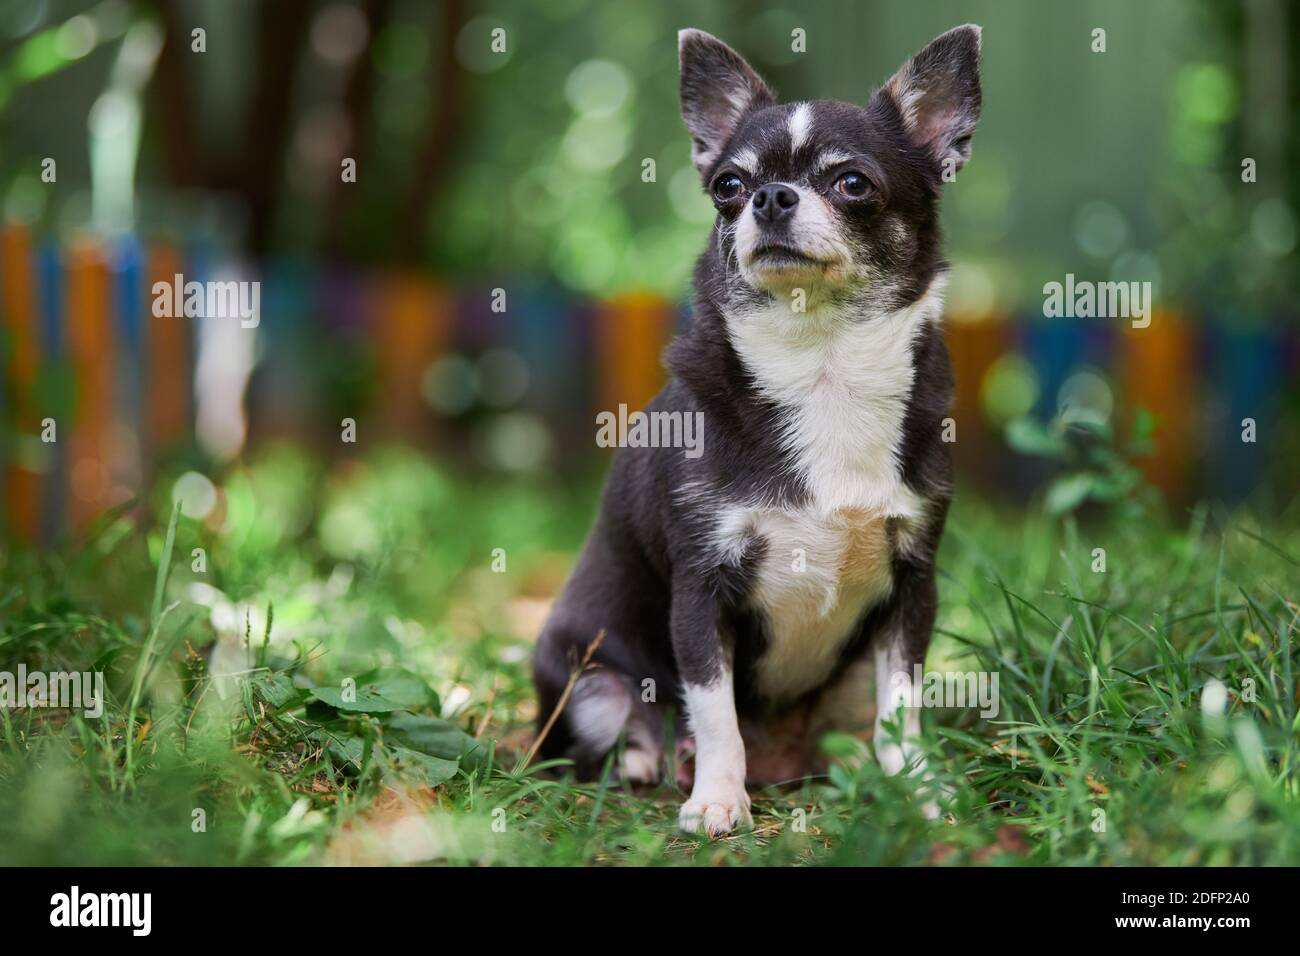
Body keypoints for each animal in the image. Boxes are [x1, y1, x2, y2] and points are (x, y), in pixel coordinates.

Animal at [533, 20, 977, 832]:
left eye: (853, 183)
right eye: (727, 188)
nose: (769, 197)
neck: (823, 368)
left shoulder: (912, 585)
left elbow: (902, 708)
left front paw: (920, 789)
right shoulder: (701, 590)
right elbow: (715, 712)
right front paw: (716, 799)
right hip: (589, 680)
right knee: (618, 732)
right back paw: (652, 762)